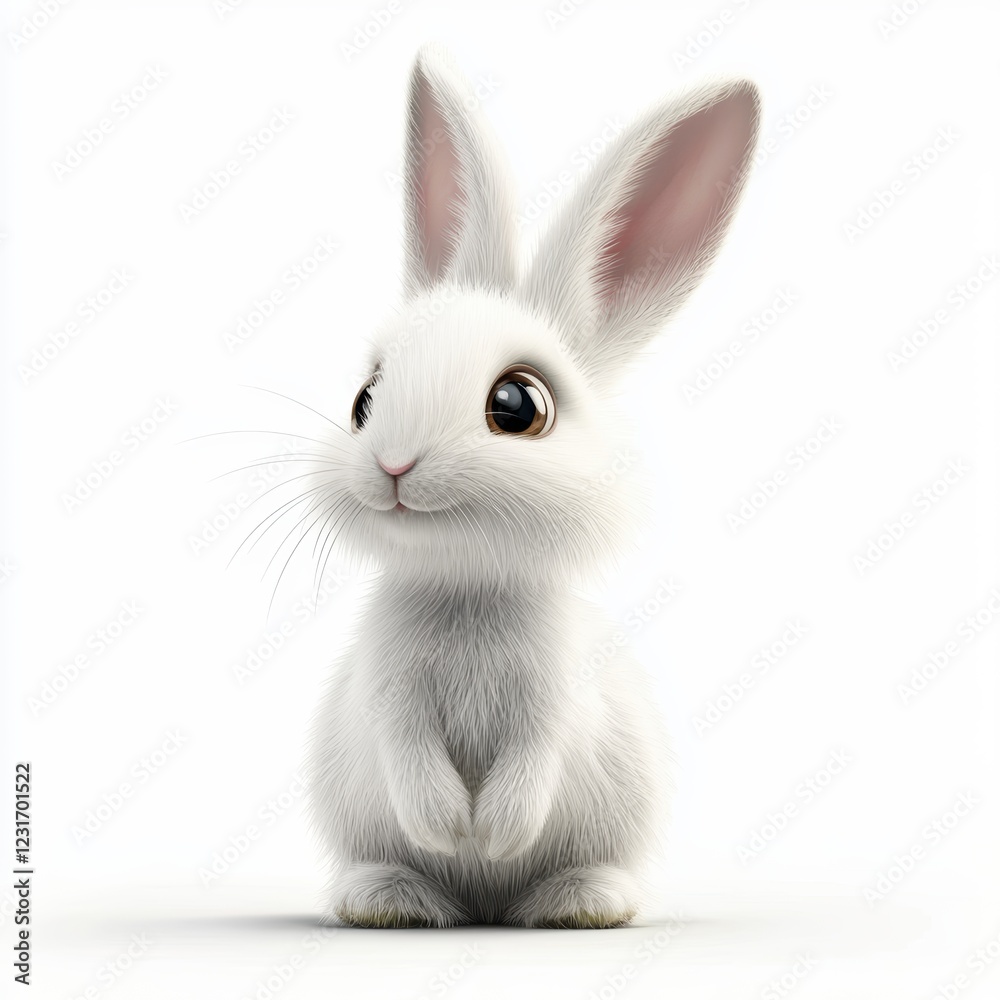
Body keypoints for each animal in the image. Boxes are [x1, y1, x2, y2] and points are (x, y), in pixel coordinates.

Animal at [304, 43, 760, 928]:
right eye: (365, 400)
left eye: (519, 405)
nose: (393, 465)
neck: (468, 590)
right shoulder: (387, 692)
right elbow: (408, 754)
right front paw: (450, 827)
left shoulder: (557, 698)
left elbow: (536, 757)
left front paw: (494, 834)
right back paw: (392, 899)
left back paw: (578, 902)